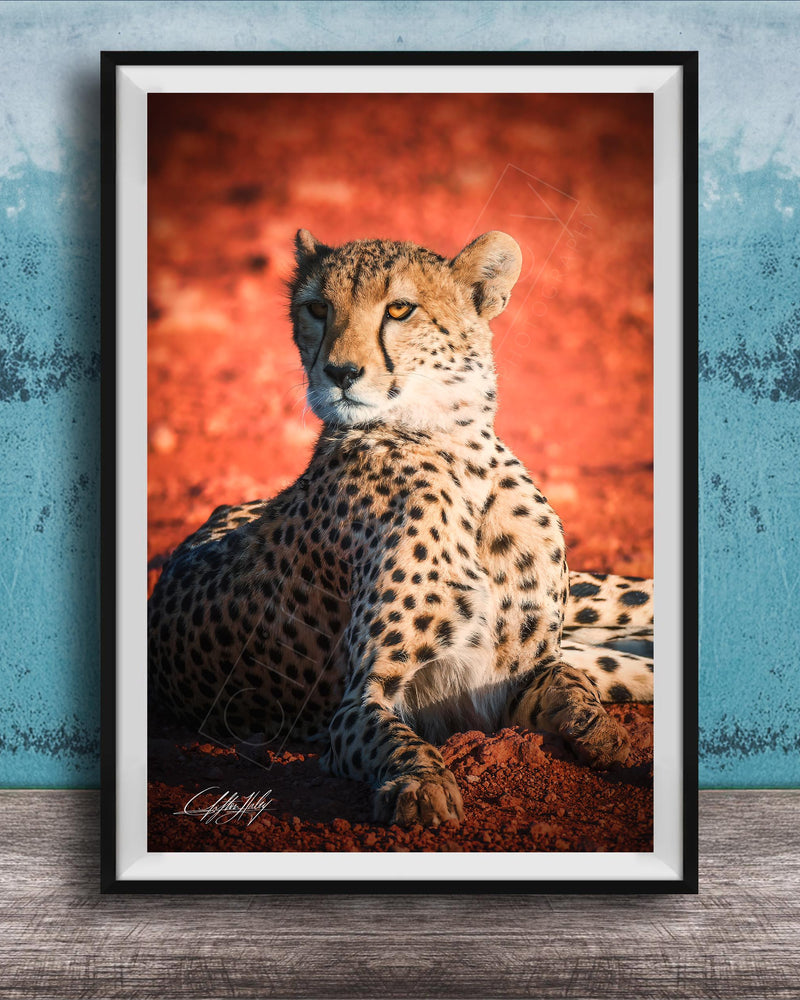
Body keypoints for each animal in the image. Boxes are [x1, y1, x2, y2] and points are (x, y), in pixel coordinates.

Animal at [148, 228, 654, 828]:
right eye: (317, 308)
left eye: (399, 309)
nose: (340, 373)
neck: (453, 449)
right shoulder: (366, 701)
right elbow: (397, 739)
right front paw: (421, 785)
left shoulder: (524, 671)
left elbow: (569, 684)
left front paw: (603, 732)